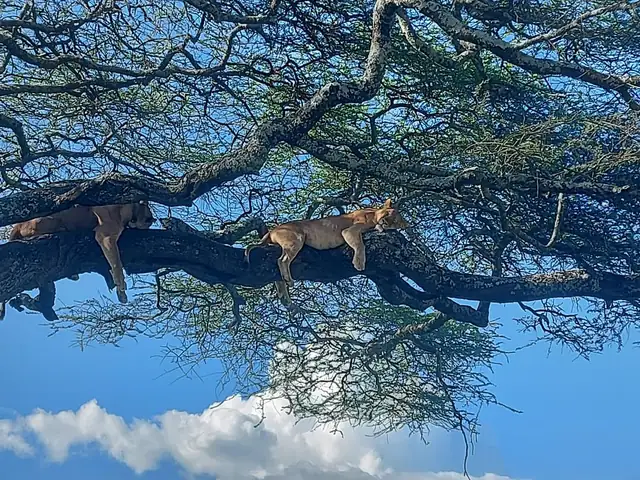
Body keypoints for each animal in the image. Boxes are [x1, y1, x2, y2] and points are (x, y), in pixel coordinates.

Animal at [3, 201, 155, 318]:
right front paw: (121, 289)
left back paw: (73, 275)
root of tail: (17, 225)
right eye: (148, 222)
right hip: (51, 219)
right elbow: (117, 263)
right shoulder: (105, 236)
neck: (131, 209)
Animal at [244, 198, 409, 304]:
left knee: (276, 268)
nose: (385, 222)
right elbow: (359, 244)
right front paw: (359, 263)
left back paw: (284, 296)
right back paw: (288, 281)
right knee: (282, 259)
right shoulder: (349, 231)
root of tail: (273, 230)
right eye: (387, 214)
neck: (373, 215)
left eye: (394, 221)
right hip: (296, 238)